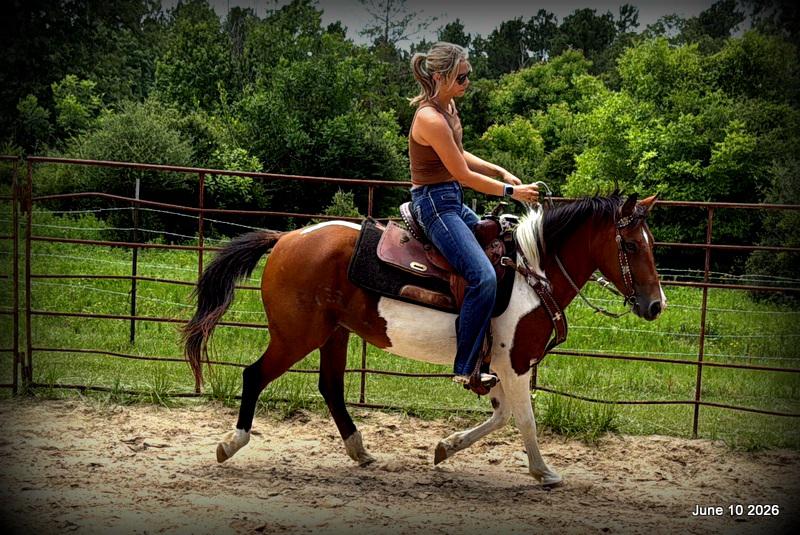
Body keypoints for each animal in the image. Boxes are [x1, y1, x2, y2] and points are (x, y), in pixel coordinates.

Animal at [183, 192, 665, 487]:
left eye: (652, 243)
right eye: (631, 245)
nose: (656, 305)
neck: (532, 273)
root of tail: (286, 237)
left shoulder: (499, 366)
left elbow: (503, 416)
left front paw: (445, 448)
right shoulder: (514, 363)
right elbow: (524, 419)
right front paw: (544, 471)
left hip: (333, 334)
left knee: (331, 387)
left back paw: (360, 451)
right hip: (296, 335)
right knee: (254, 375)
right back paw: (231, 444)